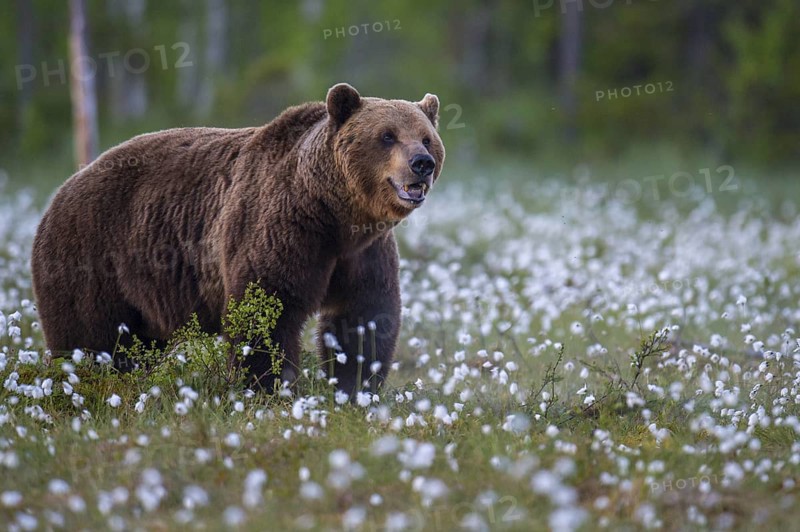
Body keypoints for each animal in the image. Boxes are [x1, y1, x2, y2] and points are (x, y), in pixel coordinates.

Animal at [31, 82, 445, 394]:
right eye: (387, 136)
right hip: (93, 255)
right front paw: (267, 388)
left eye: (426, 137)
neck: (334, 214)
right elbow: (265, 309)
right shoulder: (279, 228)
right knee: (88, 336)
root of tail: (60, 192)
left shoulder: (363, 253)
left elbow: (364, 317)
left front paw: (354, 388)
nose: (422, 163)